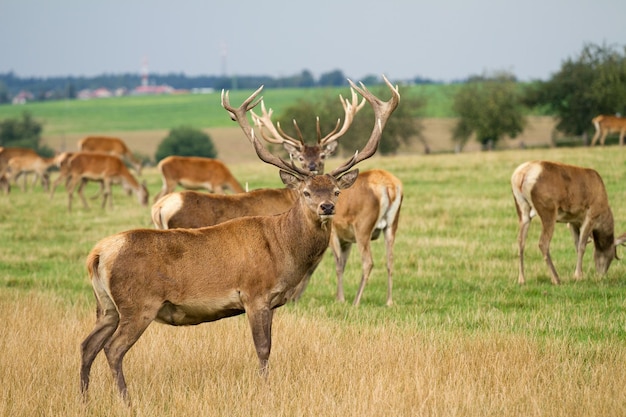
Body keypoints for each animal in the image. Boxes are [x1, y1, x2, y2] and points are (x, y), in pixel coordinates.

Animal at [79, 77, 400, 400]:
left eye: (336, 191)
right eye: (306, 192)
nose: (327, 207)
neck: (284, 250)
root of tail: (98, 254)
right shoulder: (254, 294)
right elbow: (263, 349)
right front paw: (265, 389)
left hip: (106, 306)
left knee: (87, 345)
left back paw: (84, 398)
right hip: (138, 304)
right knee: (113, 349)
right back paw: (125, 399)